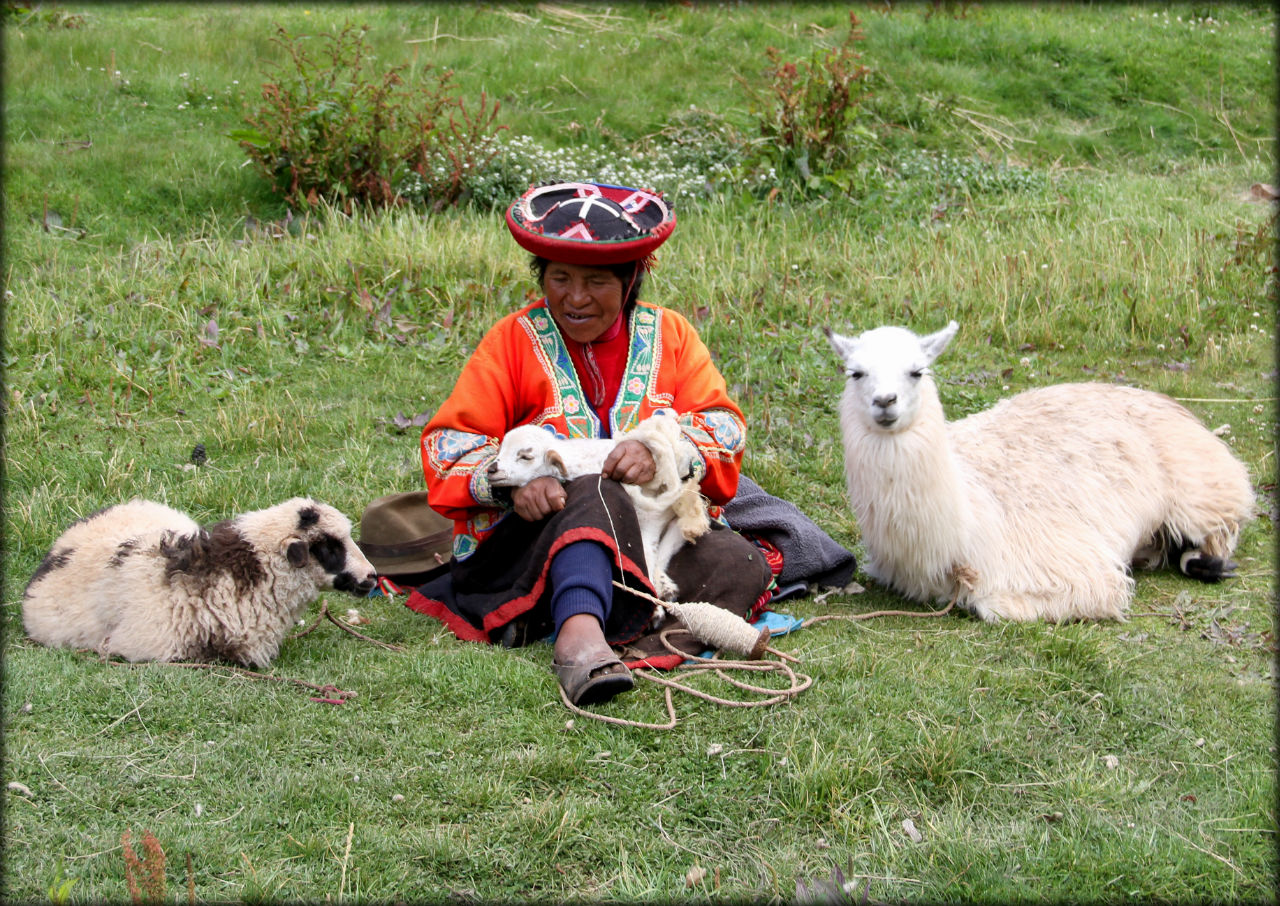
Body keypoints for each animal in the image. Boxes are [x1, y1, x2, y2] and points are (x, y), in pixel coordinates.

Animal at [824, 318, 1254, 621]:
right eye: (855, 373)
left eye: (917, 371)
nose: (885, 401)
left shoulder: (1074, 570)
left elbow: (991, 607)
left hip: (1204, 490)